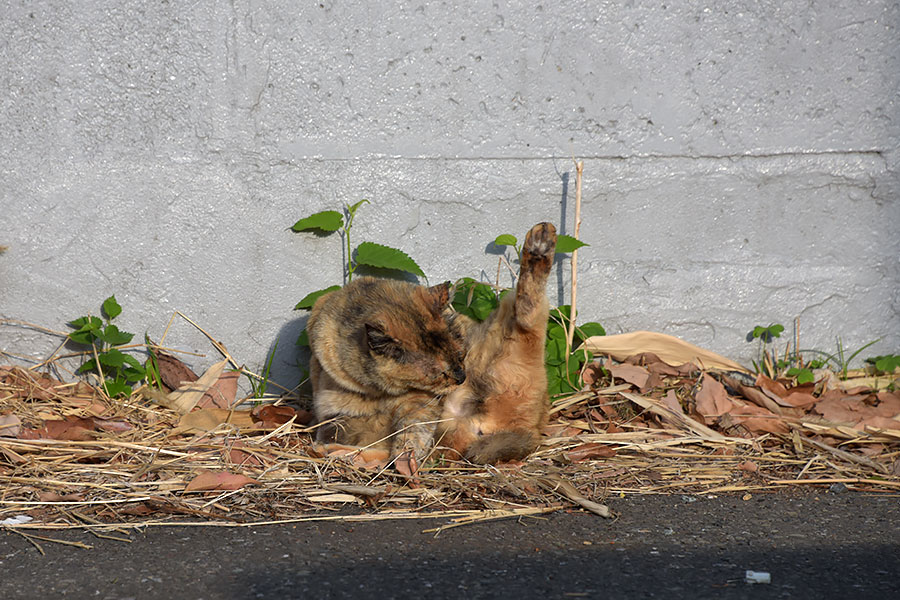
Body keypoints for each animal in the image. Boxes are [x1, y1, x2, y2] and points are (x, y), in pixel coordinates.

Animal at [308, 274, 468, 472]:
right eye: (440, 374)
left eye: (461, 355)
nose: (462, 378)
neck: (377, 393)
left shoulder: (419, 402)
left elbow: (413, 433)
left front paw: (406, 461)